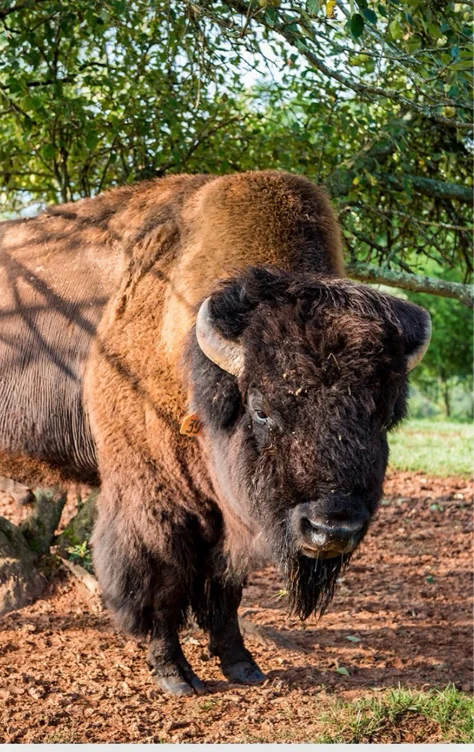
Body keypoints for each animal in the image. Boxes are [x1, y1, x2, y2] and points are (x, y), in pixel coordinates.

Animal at [0, 171, 430, 695]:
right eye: (262, 410)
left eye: (385, 414)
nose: (332, 528)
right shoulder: (157, 502)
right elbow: (162, 584)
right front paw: (175, 675)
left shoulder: (232, 516)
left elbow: (226, 590)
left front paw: (242, 664)